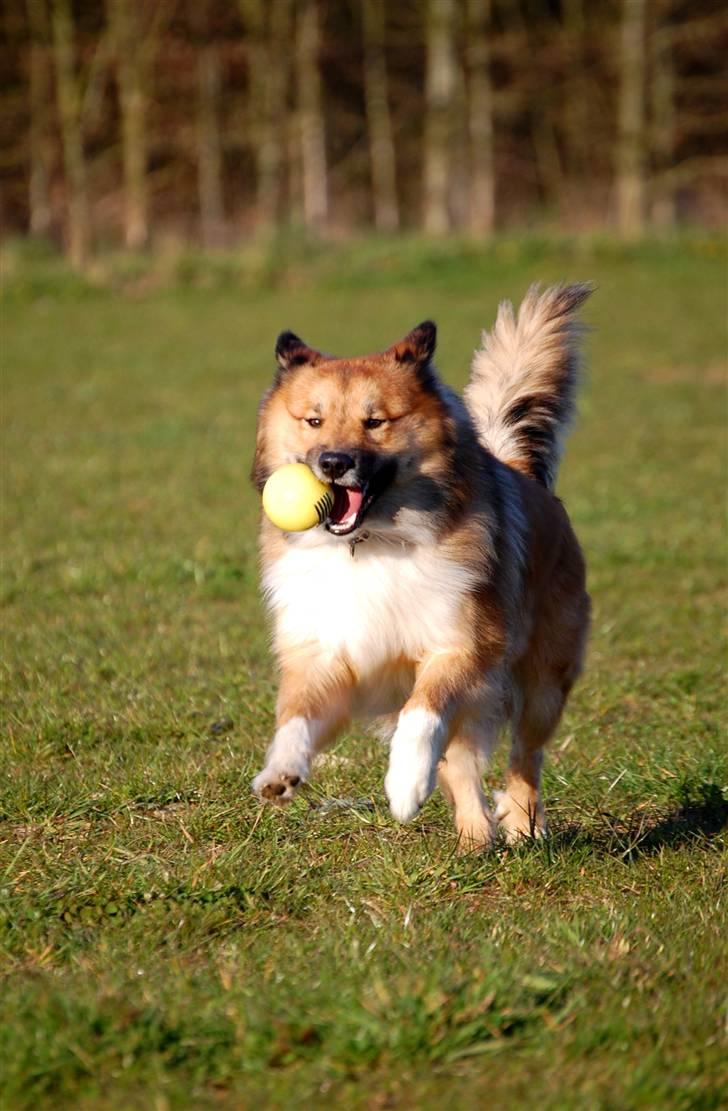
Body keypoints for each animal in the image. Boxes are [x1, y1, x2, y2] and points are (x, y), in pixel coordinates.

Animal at [251, 282, 591, 844]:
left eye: (375, 422)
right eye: (313, 420)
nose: (333, 463)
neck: (370, 543)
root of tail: (520, 469)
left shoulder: (460, 645)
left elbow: (422, 714)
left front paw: (405, 786)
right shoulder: (323, 653)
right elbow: (296, 715)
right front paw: (280, 771)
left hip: (544, 678)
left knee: (526, 753)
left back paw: (520, 825)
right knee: (464, 765)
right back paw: (474, 838)